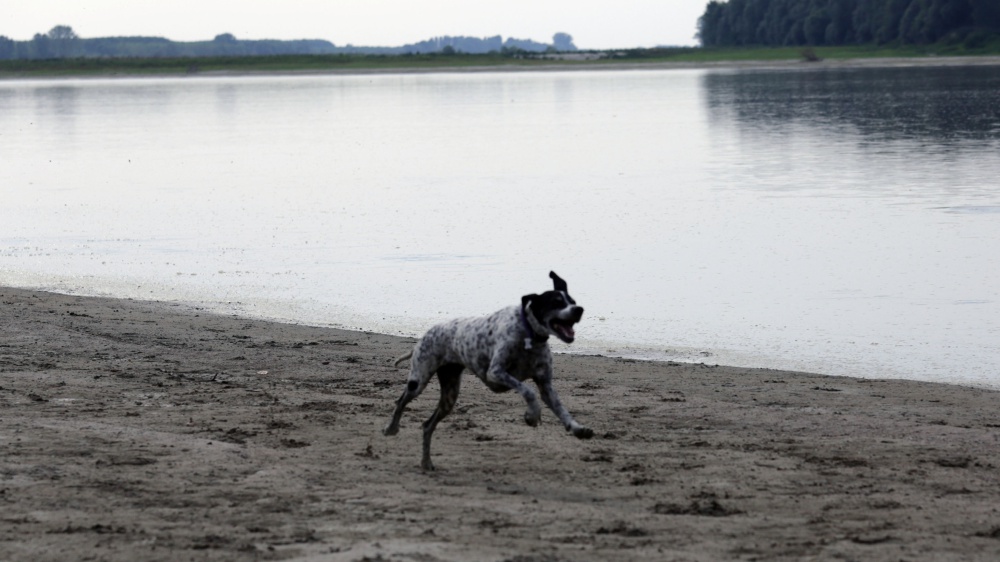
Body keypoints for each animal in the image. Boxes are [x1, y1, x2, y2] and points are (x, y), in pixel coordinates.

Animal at [384, 270, 592, 468]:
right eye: (556, 302)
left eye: (573, 301)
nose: (579, 309)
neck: (530, 336)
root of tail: (423, 337)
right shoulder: (496, 373)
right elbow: (528, 391)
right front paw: (532, 415)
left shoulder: (546, 385)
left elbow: (561, 410)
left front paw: (577, 428)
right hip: (419, 379)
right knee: (401, 401)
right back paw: (391, 428)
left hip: (449, 396)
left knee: (428, 425)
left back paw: (426, 462)